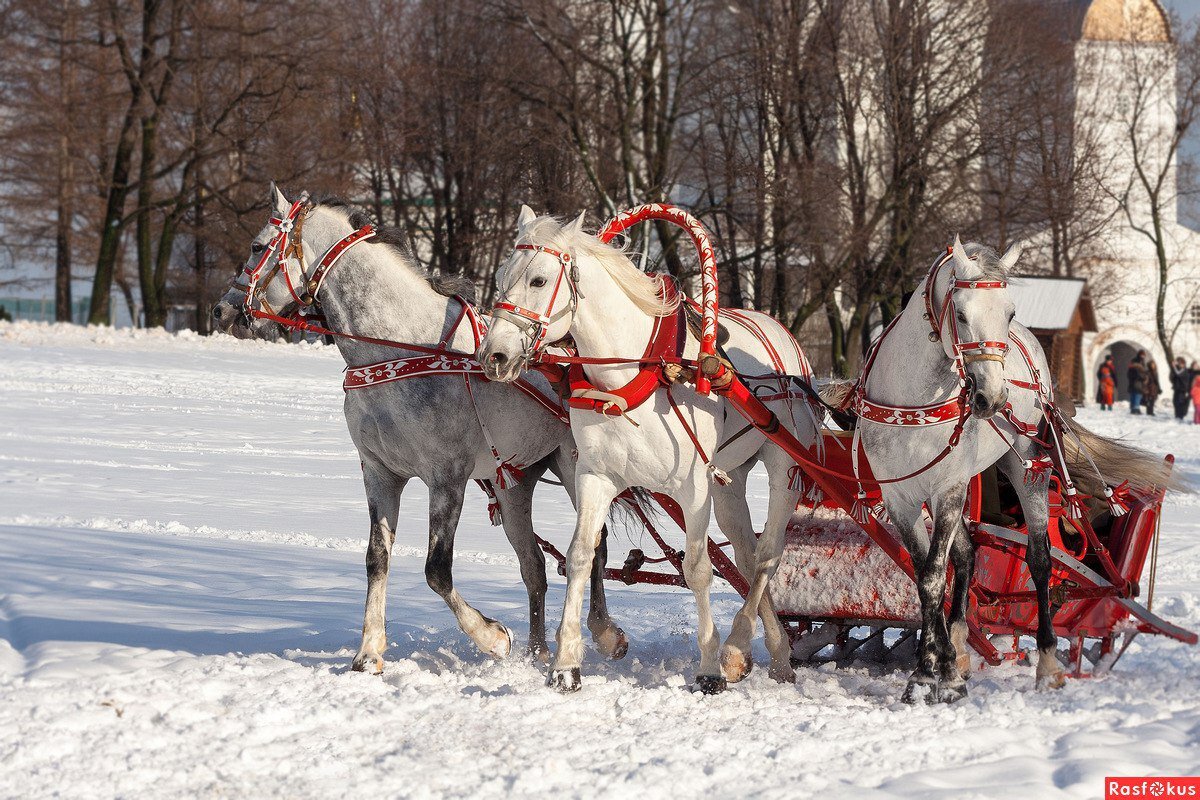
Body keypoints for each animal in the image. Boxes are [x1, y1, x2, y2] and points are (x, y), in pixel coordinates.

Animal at [214, 185, 633, 671]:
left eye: (256, 246)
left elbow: (437, 569)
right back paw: (538, 652)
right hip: (512, 483)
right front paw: (368, 652)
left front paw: (492, 637)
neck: (400, 348)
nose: (222, 309)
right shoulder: (379, 473)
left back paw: (605, 634)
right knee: (535, 565)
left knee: (594, 547)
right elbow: (377, 558)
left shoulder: (446, 478)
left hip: (573, 466)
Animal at [477, 208, 825, 695]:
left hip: (783, 465)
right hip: (730, 481)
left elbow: (697, 568)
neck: (631, 374)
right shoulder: (595, 477)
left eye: (539, 280)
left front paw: (709, 667)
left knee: (768, 555)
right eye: (500, 278)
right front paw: (566, 664)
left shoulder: (693, 486)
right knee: (746, 554)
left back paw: (737, 647)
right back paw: (776, 655)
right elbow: (580, 555)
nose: (493, 356)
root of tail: (784, 335)